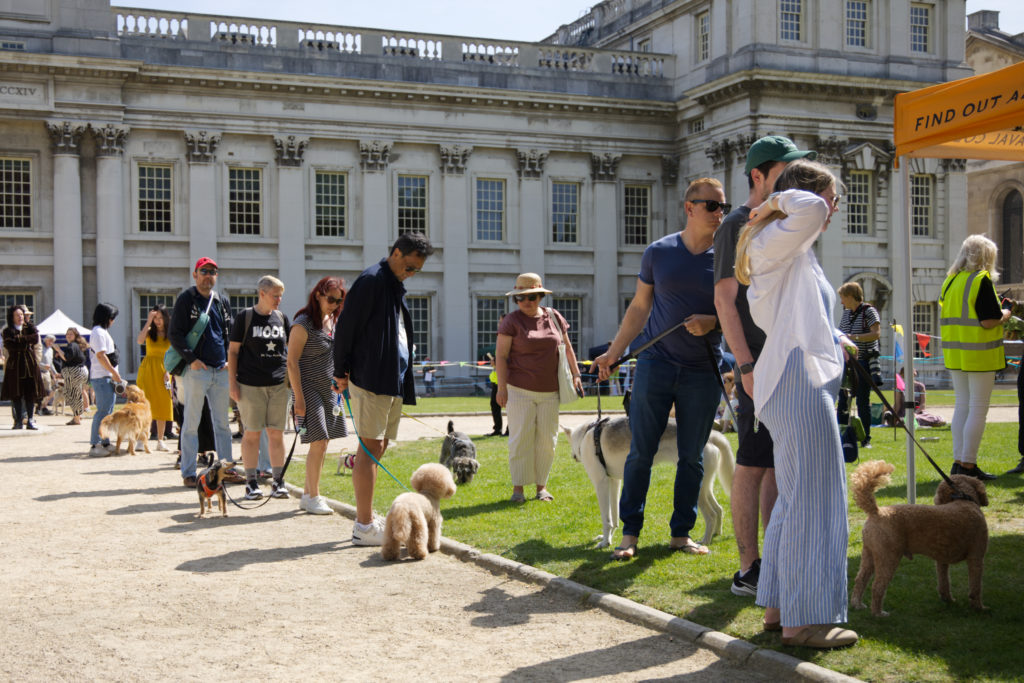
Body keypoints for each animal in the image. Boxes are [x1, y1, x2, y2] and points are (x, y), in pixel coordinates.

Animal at [565, 419, 733, 548]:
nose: (572, 457)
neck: (586, 435)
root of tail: (711, 436)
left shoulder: (601, 484)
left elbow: (606, 519)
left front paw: (605, 542)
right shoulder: (614, 482)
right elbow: (614, 517)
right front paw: (609, 537)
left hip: (696, 491)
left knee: (711, 515)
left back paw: (704, 542)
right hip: (705, 487)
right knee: (719, 509)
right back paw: (716, 533)